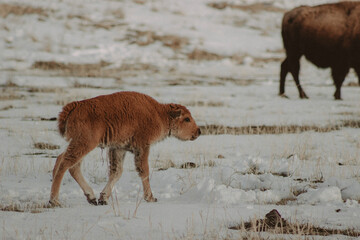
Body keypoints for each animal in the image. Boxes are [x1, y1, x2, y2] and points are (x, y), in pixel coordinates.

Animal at [49, 91, 201, 207]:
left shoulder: (118, 149)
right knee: (65, 164)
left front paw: (103, 198)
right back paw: (54, 201)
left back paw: (91, 198)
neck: (159, 114)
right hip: (85, 143)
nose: (198, 131)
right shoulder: (142, 147)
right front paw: (151, 198)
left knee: (66, 162)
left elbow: (116, 172)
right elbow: (144, 171)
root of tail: (75, 106)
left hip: (80, 144)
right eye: (187, 119)